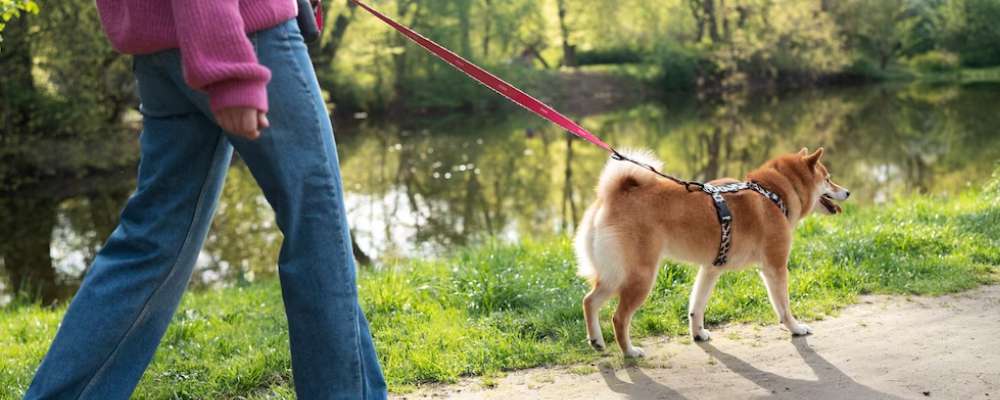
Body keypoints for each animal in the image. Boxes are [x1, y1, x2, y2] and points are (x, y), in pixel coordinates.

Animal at [576, 146, 848, 356]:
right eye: (828, 178)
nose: (847, 191)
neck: (773, 193)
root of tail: (612, 197)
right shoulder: (775, 267)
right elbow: (784, 306)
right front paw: (795, 328)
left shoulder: (710, 269)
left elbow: (696, 306)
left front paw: (698, 334)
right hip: (640, 277)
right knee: (619, 318)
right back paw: (630, 351)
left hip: (614, 274)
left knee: (589, 301)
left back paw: (596, 341)